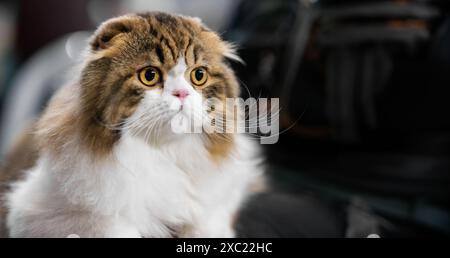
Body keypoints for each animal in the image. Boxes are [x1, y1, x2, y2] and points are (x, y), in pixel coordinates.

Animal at [0, 12, 266, 238]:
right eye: (149, 76)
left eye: (198, 76)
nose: (181, 94)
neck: (163, 154)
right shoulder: (30, 211)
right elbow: (115, 227)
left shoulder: (227, 190)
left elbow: (208, 221)